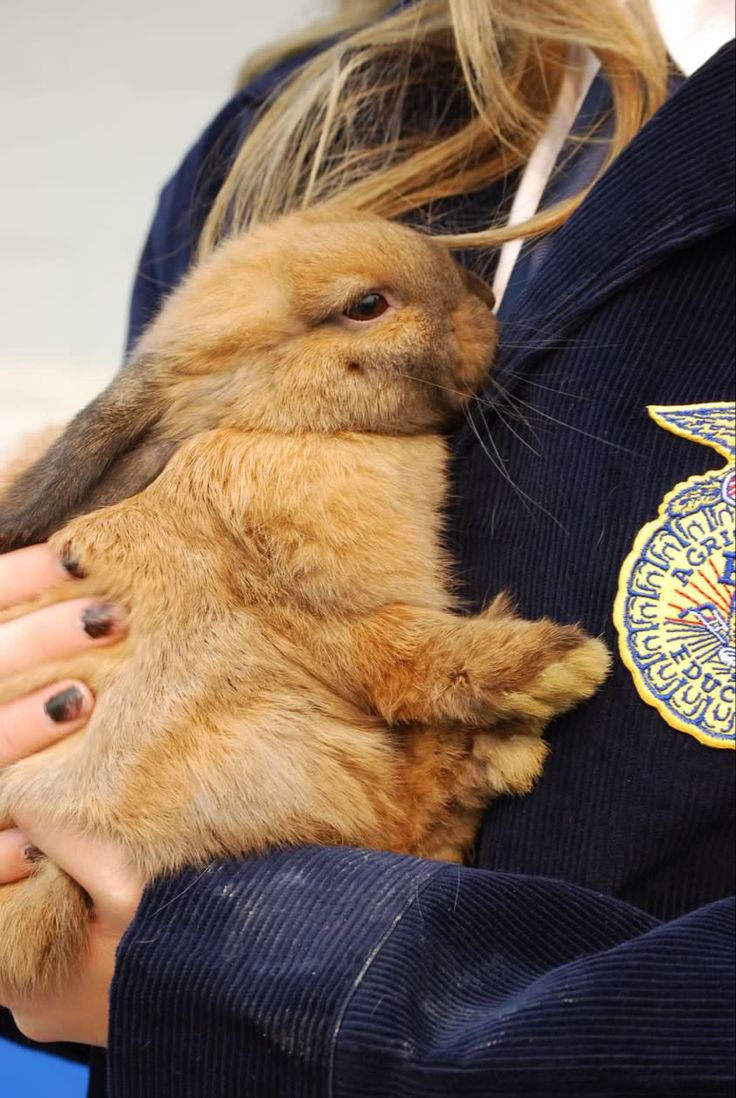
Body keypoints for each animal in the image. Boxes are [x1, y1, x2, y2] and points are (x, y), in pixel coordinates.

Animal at [0, 206, 610, 996]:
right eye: (367, 305)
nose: (482, 296)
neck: (291, 429)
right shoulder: (329, 619)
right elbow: (417, 659)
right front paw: (556, 664)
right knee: (404, 821)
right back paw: (492, 747)